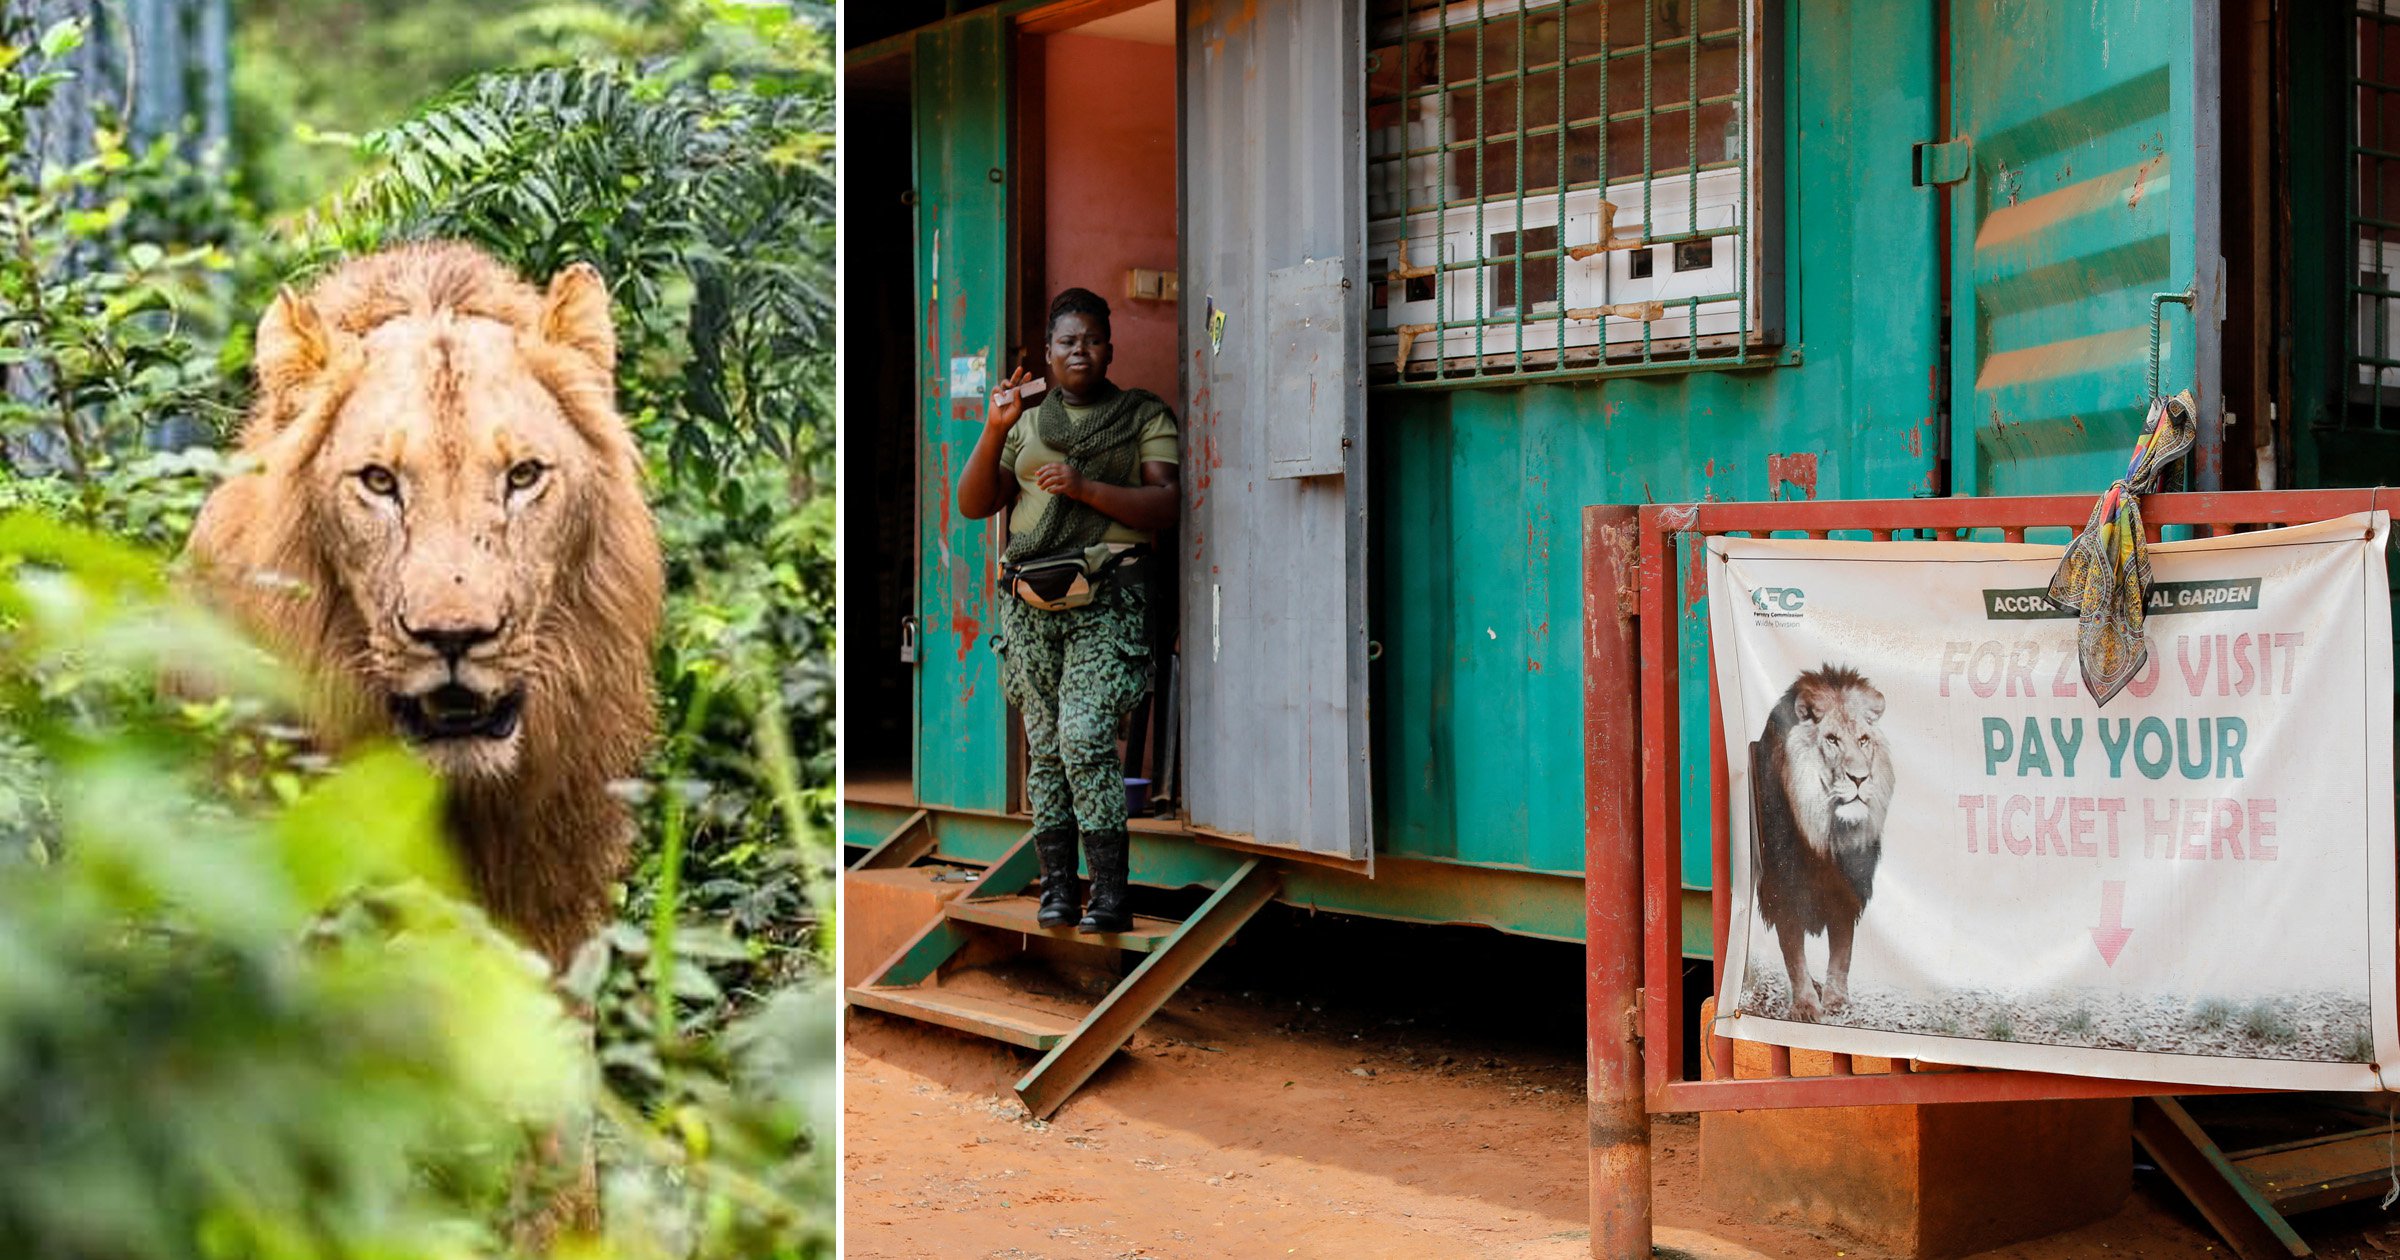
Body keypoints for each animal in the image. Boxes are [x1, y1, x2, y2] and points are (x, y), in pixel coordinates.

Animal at [1747, 662, 1891, 1017]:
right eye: (1832, 740)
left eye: (1863, 740)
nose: (1859, 778)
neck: (1824, 835)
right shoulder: (1783, 889)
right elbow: (1793, 951)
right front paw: (1806, 1005)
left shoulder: (1849, 887)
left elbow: (1842, 949)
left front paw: (1837, 1000)